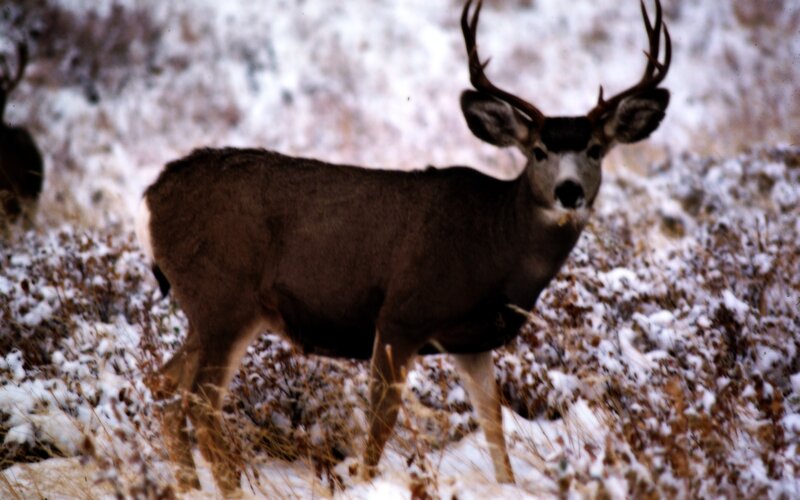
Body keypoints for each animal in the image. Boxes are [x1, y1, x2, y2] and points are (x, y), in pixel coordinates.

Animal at [136, 0, 670, 493]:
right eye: (539, 151)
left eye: (595, 150)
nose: (569, 192)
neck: (496, 245)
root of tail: (151, 198)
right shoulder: (401, 314)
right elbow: (380, 424)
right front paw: (367, 483)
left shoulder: (471, 341)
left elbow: (494, 425)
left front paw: (507, 485)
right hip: (224, 299)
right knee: (201, 405)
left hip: (210, 312)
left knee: (164, 387)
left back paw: (186, 486)